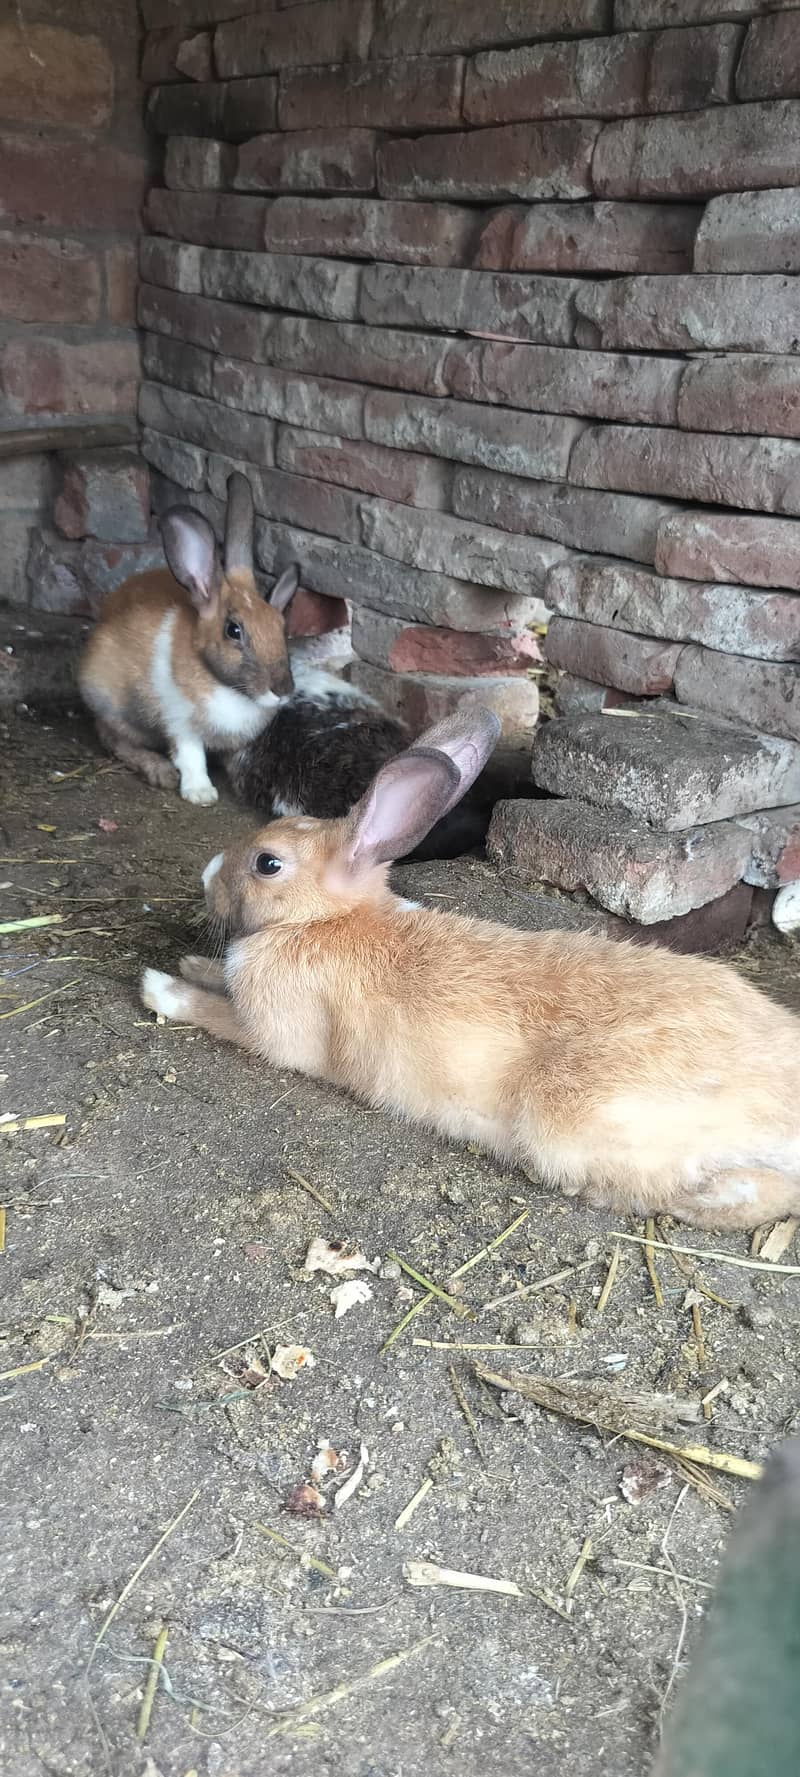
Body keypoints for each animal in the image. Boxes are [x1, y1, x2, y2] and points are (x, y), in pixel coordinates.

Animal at [78, 472, 293, 805]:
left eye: (281, 626)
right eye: (234, 630)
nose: (283, 690)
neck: (226, 686)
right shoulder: (180, 724)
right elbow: (191, 757)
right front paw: (201, 794)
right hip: (114, 708)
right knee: (114, 740)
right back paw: (159, 770)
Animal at [140, 701, 800, 1232]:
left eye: (267, 864)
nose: (206, 877)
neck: (323, 921)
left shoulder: (272, 1034)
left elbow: (214, 1012)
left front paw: (157, 987)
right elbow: (214, 977)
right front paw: (191, 961)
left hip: (572, 1119)